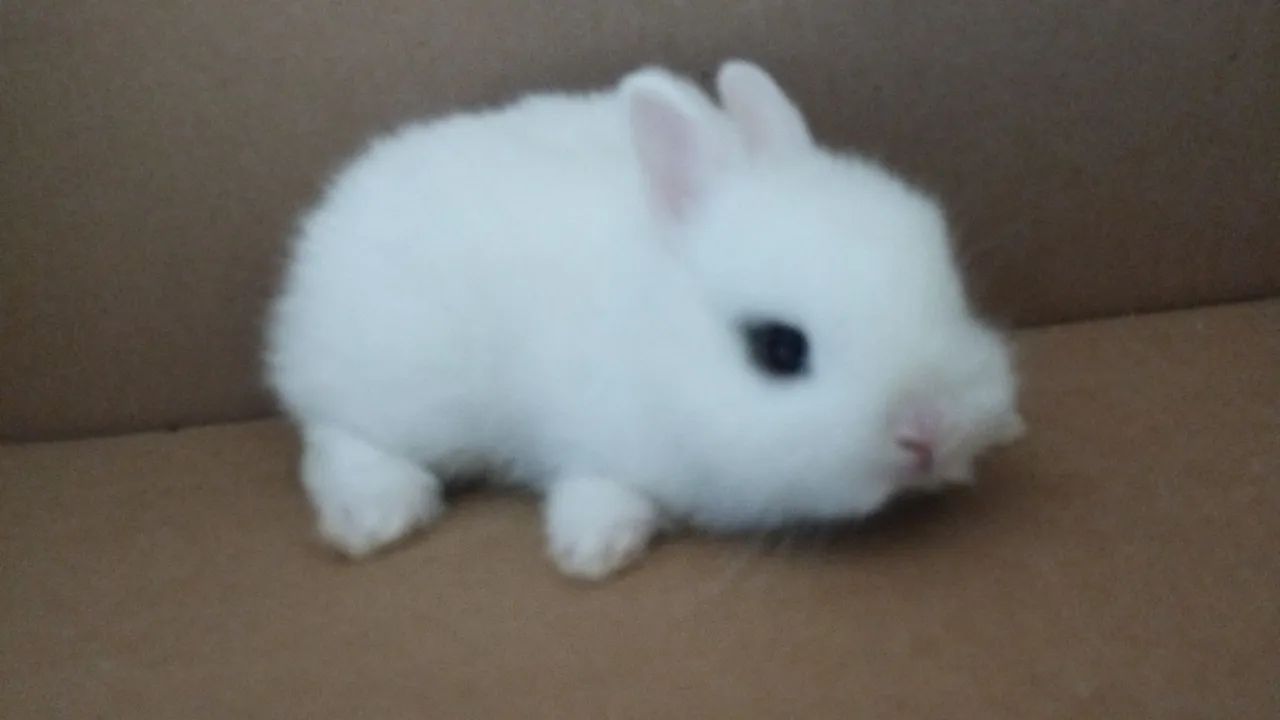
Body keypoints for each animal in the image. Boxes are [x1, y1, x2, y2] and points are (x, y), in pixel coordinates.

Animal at [264, 60, 1025, 580]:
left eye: (951, 288)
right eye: (778, 349)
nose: (927, 433)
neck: (659, 340)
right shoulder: (588, 436)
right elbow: (598, 486)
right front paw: (594, 549)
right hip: (388, 388)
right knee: (333, 437)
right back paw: (379, 515)